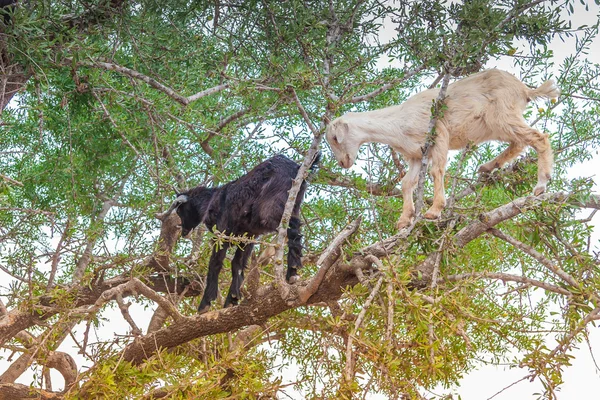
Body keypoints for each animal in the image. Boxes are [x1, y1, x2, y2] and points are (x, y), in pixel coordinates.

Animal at [158, 153, 318, 312]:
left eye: (180, 210)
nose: (183, 231)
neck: (212, 200)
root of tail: (297, 167)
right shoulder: (248, 236)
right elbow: (237, 264)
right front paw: (232, 298)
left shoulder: (222, 233)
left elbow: (215, 263)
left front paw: (206, 303)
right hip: (293, 205)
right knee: (296, 228)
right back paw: (293, 272)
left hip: (270, 209)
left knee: (292, 227)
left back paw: (292, 271)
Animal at [326, 69, 560, 228]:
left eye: (336, 138)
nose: (343, 162)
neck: (397, 122)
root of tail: (524, 89)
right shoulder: (416, 155)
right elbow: (407, 183)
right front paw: (404, 220)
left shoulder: (438, 135)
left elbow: (436, 171)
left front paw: (434, 211)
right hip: (496, 125)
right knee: (519, 142)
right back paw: (487, 167)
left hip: (502, 116)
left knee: (539, 138)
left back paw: (541, 185)